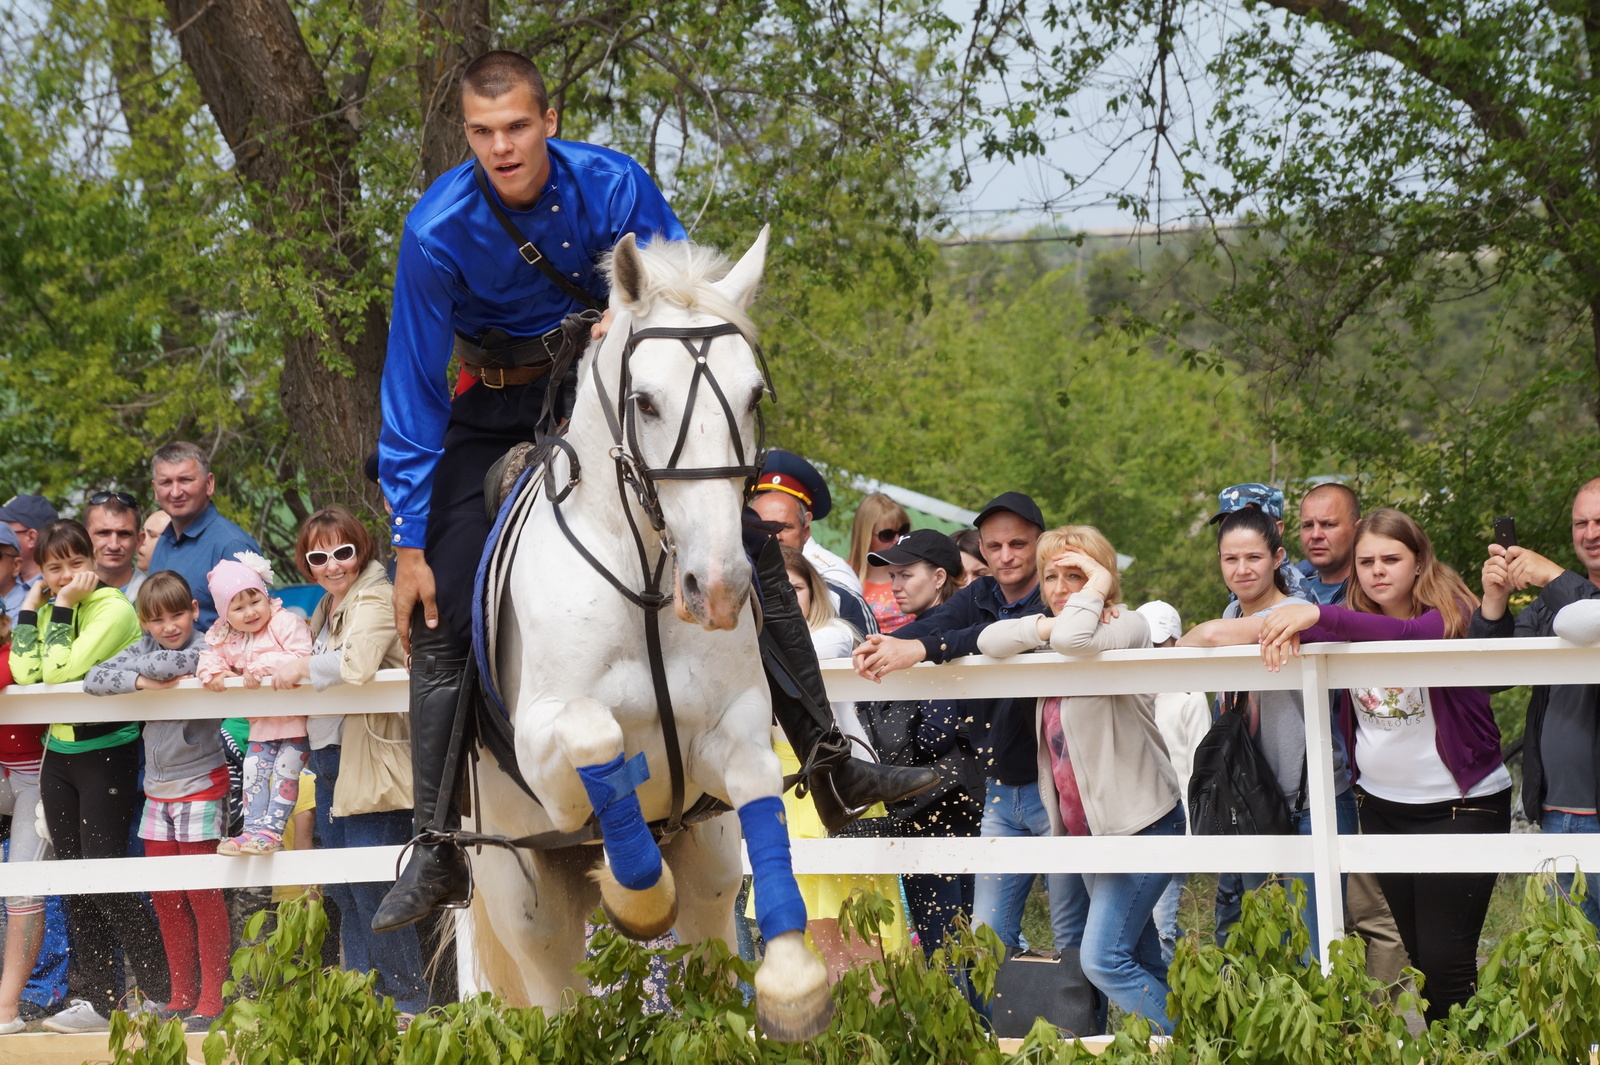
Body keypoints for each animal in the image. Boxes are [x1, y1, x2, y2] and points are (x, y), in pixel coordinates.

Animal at [464, 225, 832, 1036]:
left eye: (752, 395)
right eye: (645, 401)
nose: (718, 588)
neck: (648, 580)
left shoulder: (729, 733)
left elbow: (757, 780)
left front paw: (793, 981)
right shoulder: (546, 749)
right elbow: (596, 740)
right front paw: (636, 892)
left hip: (710, 861)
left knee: (708, 936)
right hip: (523, 897)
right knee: (555, 993)